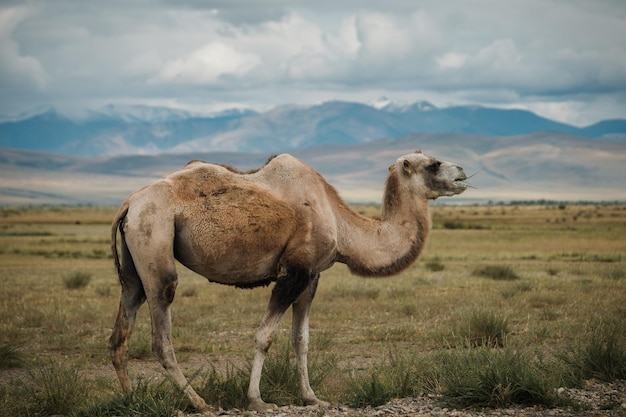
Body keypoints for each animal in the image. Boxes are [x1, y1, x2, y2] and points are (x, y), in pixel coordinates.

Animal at [108, 149, 468, 410]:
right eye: (434, 164)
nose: (463, 172)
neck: (341, 225)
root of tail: (128, 203)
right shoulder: (293, 272)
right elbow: (264, 336)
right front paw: (257, 400)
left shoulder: (312, 276)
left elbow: (301, 339)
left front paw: (312, 397)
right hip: (156, 239)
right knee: (161, 328)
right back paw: (199, 402)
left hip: (134, 261)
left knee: (122, 326)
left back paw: (129, 398)